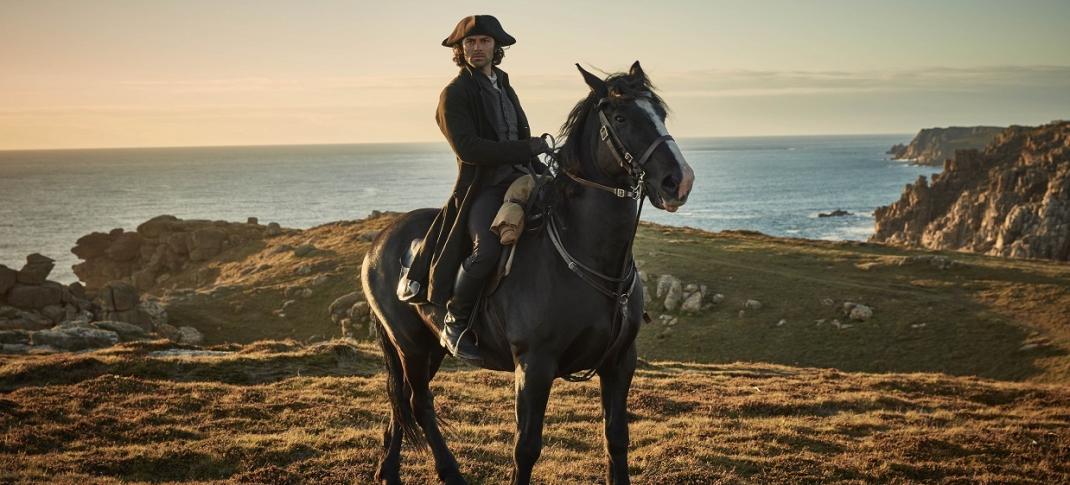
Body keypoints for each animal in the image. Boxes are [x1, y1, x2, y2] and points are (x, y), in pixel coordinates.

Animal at [359, 61, 693, 483]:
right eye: (620, 117)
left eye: (660, 113)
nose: (679, 181)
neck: (583, 250)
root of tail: (380, 242)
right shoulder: (534, 366)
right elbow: (526, 448)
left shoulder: (620, 362)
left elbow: (616, 438)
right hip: (412, 346)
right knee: (419, 403)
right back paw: (449, 471)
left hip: (427, 348)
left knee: (400, 399)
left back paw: (388, 471)